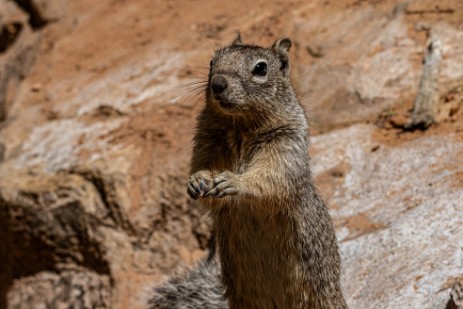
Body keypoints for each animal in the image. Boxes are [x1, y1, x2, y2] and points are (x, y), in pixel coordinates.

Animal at [149, 31, 348, 308]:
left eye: (260, 68)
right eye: (212, 61)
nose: (218, 83)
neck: (240, 127)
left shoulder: (285, 145)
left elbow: (272, 177)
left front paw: (234, 182)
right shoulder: (206, 140)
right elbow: (203, 174)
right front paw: (198, 179)